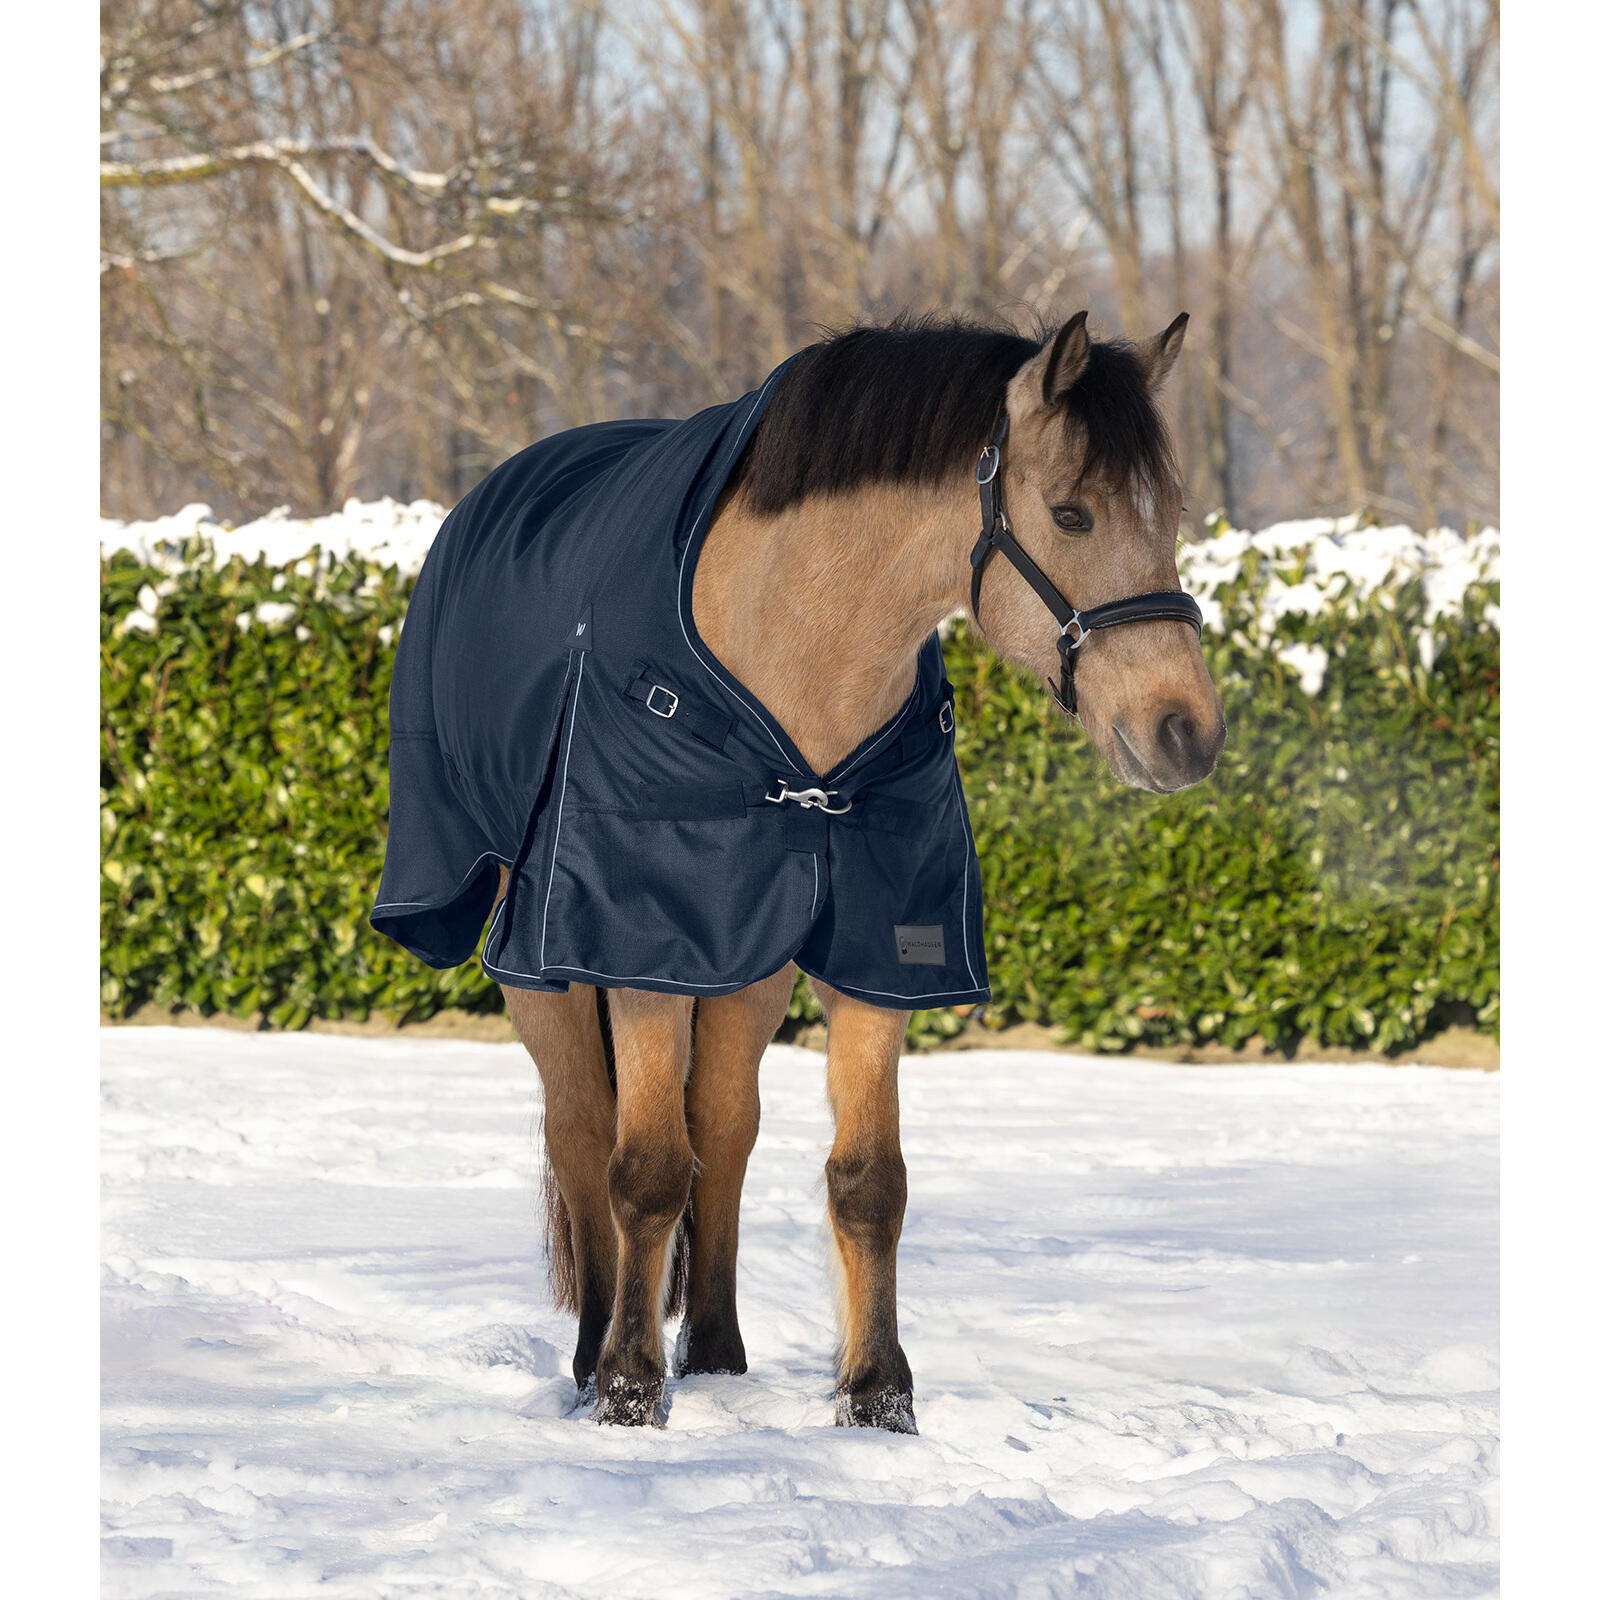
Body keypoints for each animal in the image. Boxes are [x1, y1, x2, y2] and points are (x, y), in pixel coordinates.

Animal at [434, 311, 1224, 1430]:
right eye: (1071, 513)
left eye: (1172, 516)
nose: (1184, 734)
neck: (794, 653)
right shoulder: (640, 950)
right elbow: (643, 1170)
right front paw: (630, 1390)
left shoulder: (877, 954)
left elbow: (866, 1178)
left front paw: (876, 1394)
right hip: (543, 975)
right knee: (584, 1136)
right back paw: (593, 1358)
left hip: (747, 973)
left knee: (722, 1127)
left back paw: (717, 1354)